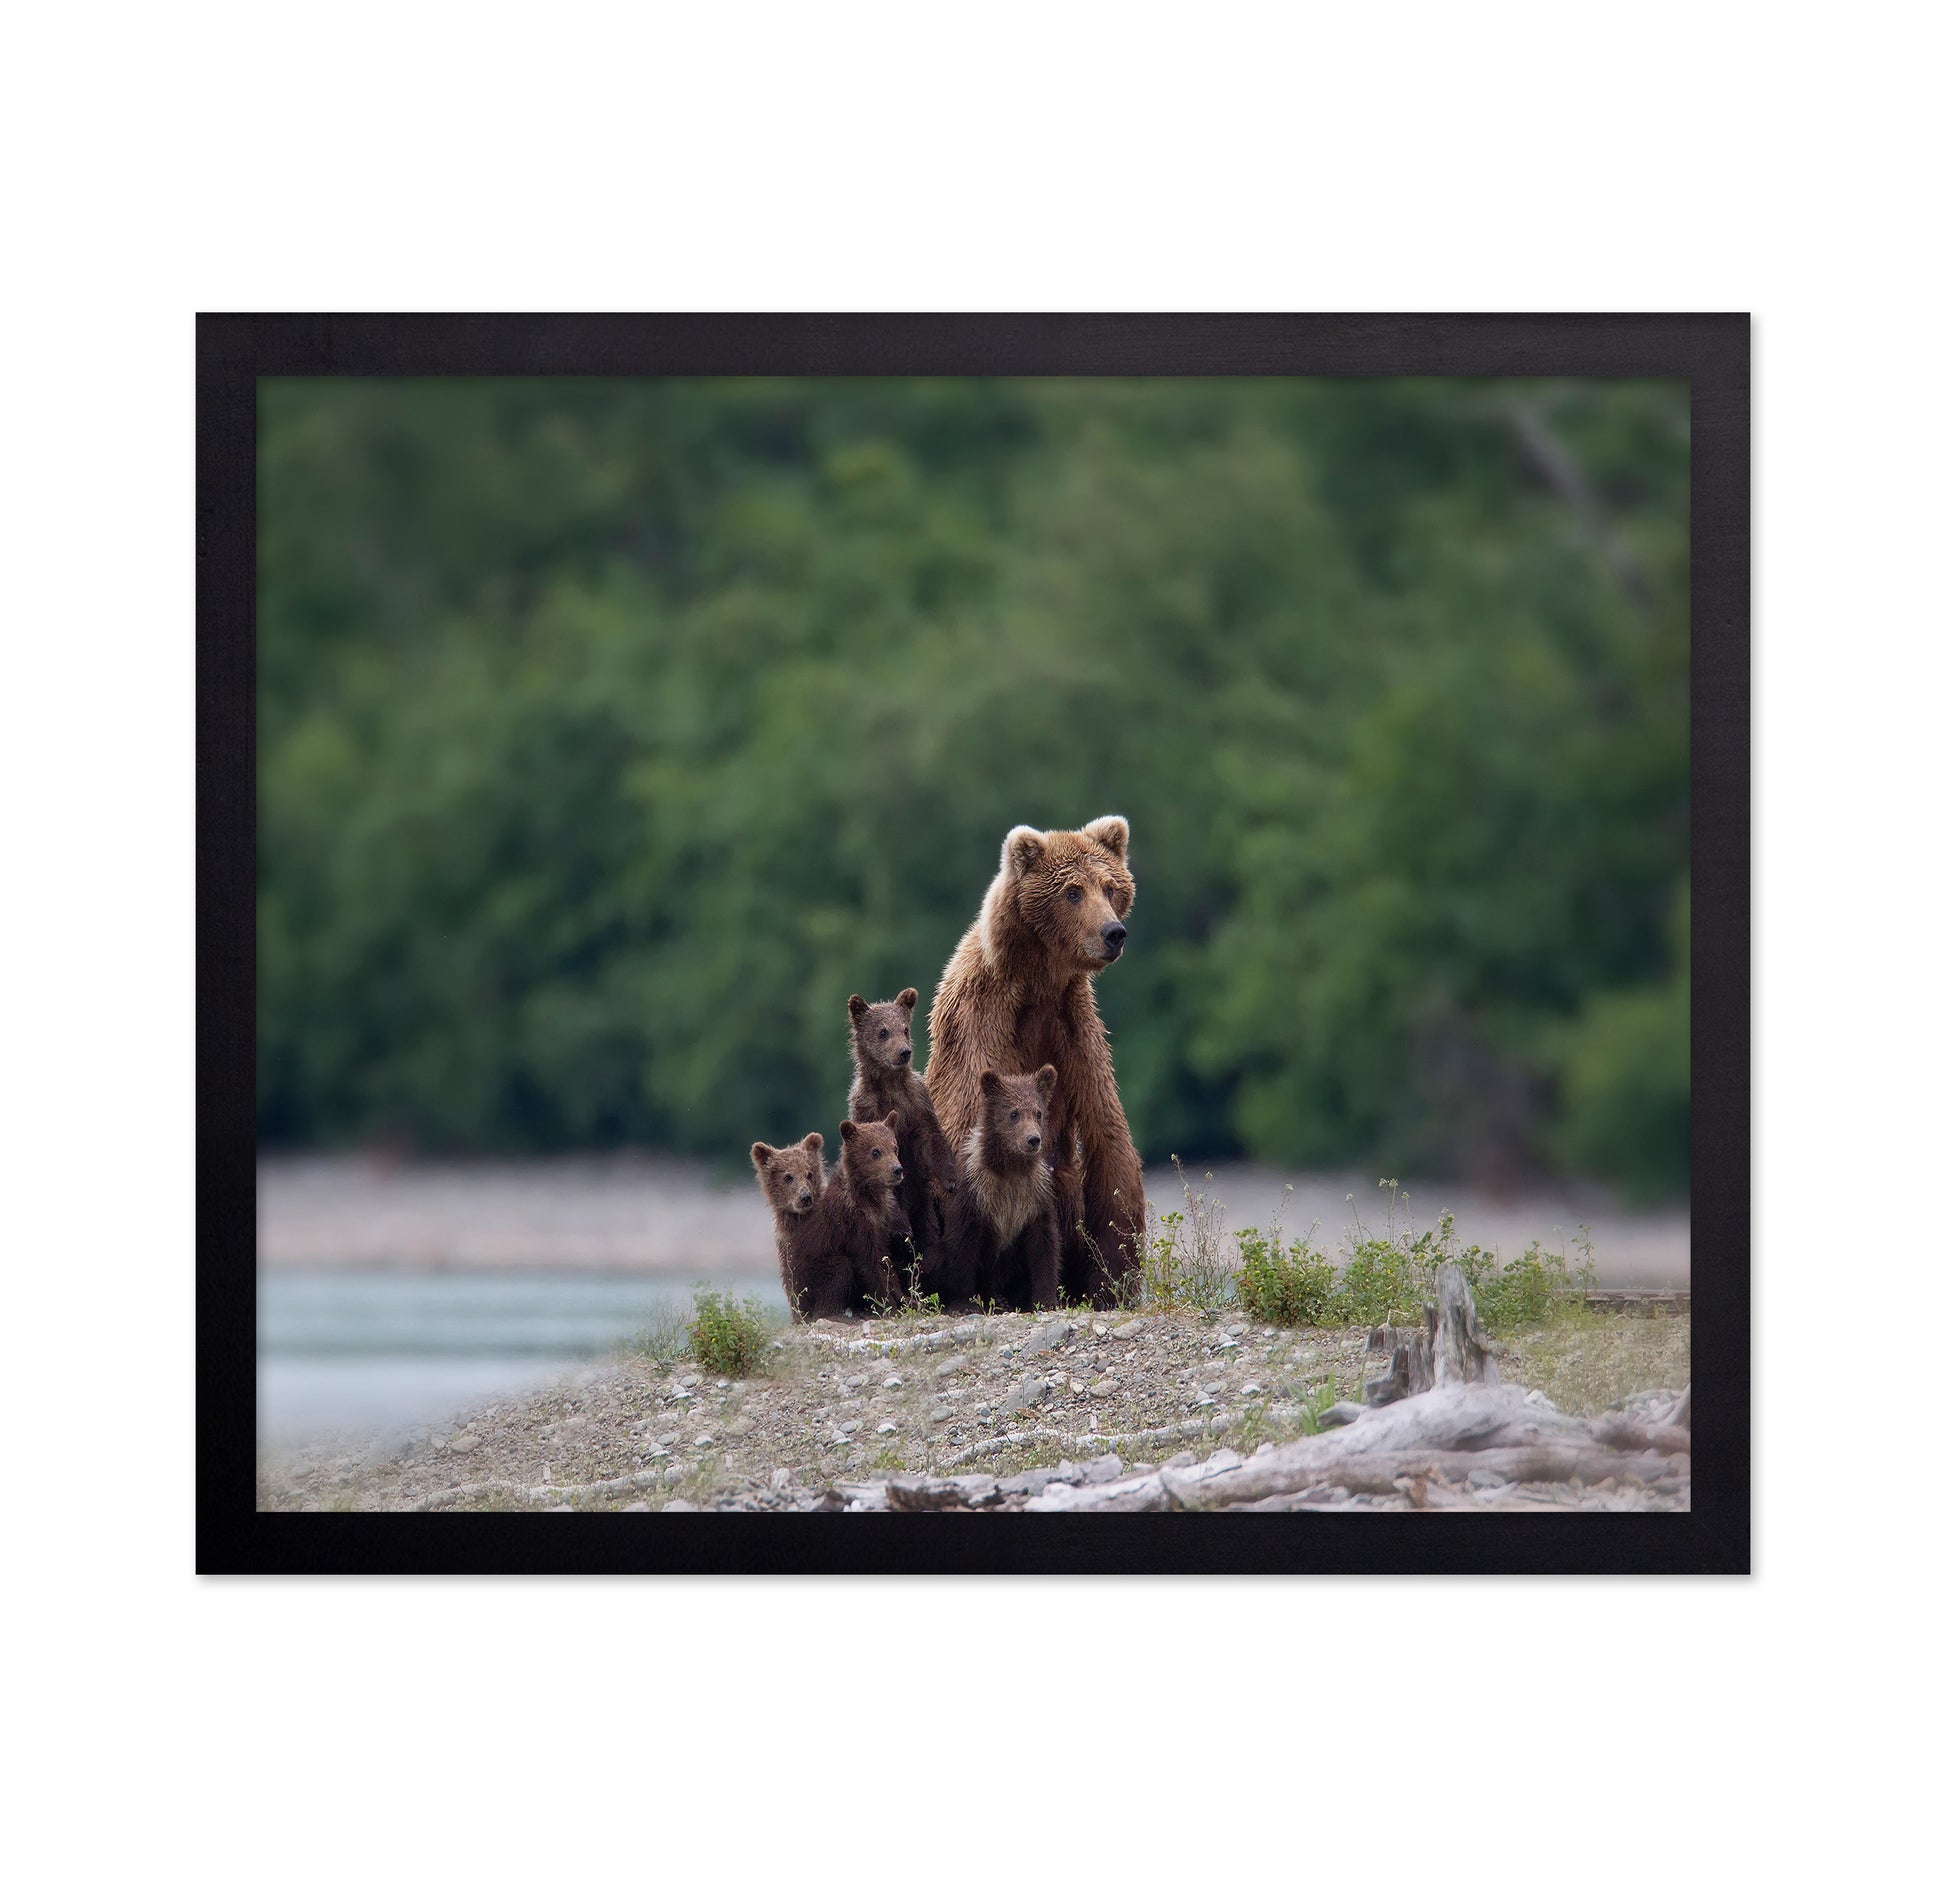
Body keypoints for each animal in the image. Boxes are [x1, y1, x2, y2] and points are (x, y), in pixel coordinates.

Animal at [755, 1116, 911, 1321]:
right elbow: (871, 1265)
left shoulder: (881, 1222)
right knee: (839, 1268)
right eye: (875, 1151)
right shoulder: (853, 1225)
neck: (867, 1199)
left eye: (894, 1147)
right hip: (809, 1275)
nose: (897, 1169)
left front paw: (907, 1299)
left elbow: (886, 1260)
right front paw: (890, 1306)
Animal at [846, 988, 958, 1277]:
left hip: (923, 1205)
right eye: (883, 1031)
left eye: (905, 1028)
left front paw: (951, 1178)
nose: (903, 1052)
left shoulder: (917, 1102)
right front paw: (899, 1227)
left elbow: (931, 1137)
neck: (889, 1084)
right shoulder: (866, 1108)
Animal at [941, 1065, 1063, 1313]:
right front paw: (964, 1302)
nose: (1033, 1139)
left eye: (1038, 1112)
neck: (1010, 1169)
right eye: (1014, 1113)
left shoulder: (1035, 1194)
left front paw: (1045, 1300)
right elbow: (962, 1243)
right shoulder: (976, 1190)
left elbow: (1044, 1245)